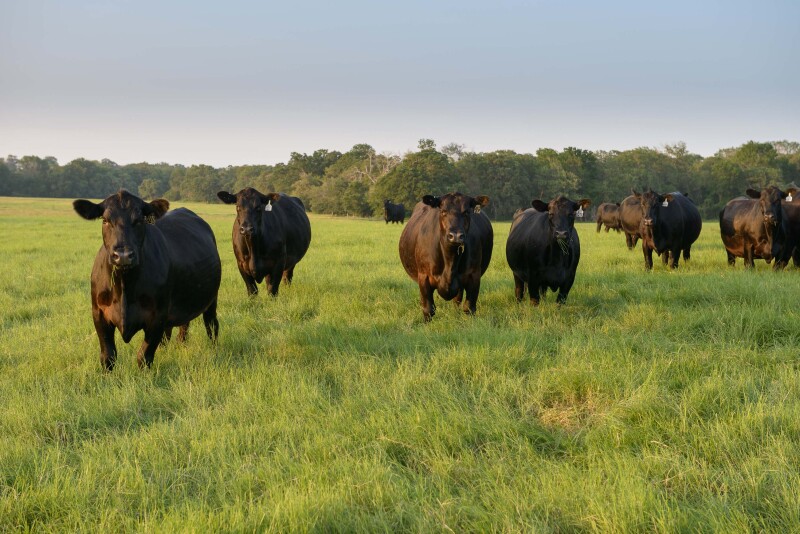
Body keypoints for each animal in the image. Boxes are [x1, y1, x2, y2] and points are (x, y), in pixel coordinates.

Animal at [73, 190, 221, 370]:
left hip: (211, 299)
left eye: (139, 220)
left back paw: (213, 350)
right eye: (105, 220)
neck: (124, 285)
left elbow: (144, 356)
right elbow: (108, 356)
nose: (123, 255)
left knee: (211, 325)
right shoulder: (99, 313)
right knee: (180, 329)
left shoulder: (157, 316)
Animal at [399, 192, 493, 321]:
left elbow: (469, 307)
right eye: (443, 211)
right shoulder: (423, 276)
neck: (450, 261)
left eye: (467, 212)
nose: (456, 236)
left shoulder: (474, 275)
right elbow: (428, 309)